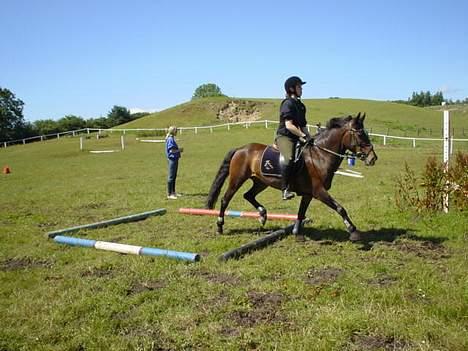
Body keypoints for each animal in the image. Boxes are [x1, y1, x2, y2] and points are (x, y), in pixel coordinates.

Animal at [207, 113, 378, 242]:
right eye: (360, 133)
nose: (373, 158)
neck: (320, 156)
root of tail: (240, 149)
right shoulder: (319, 191)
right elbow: (340, 208)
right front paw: (353, 231)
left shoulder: (309, 194)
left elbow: (301, 213)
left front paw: (297, 233)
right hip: (237, 179)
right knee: (225, 199)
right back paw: (220, 226)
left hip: (261, 182)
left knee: (248, 195)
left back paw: (262, 215)